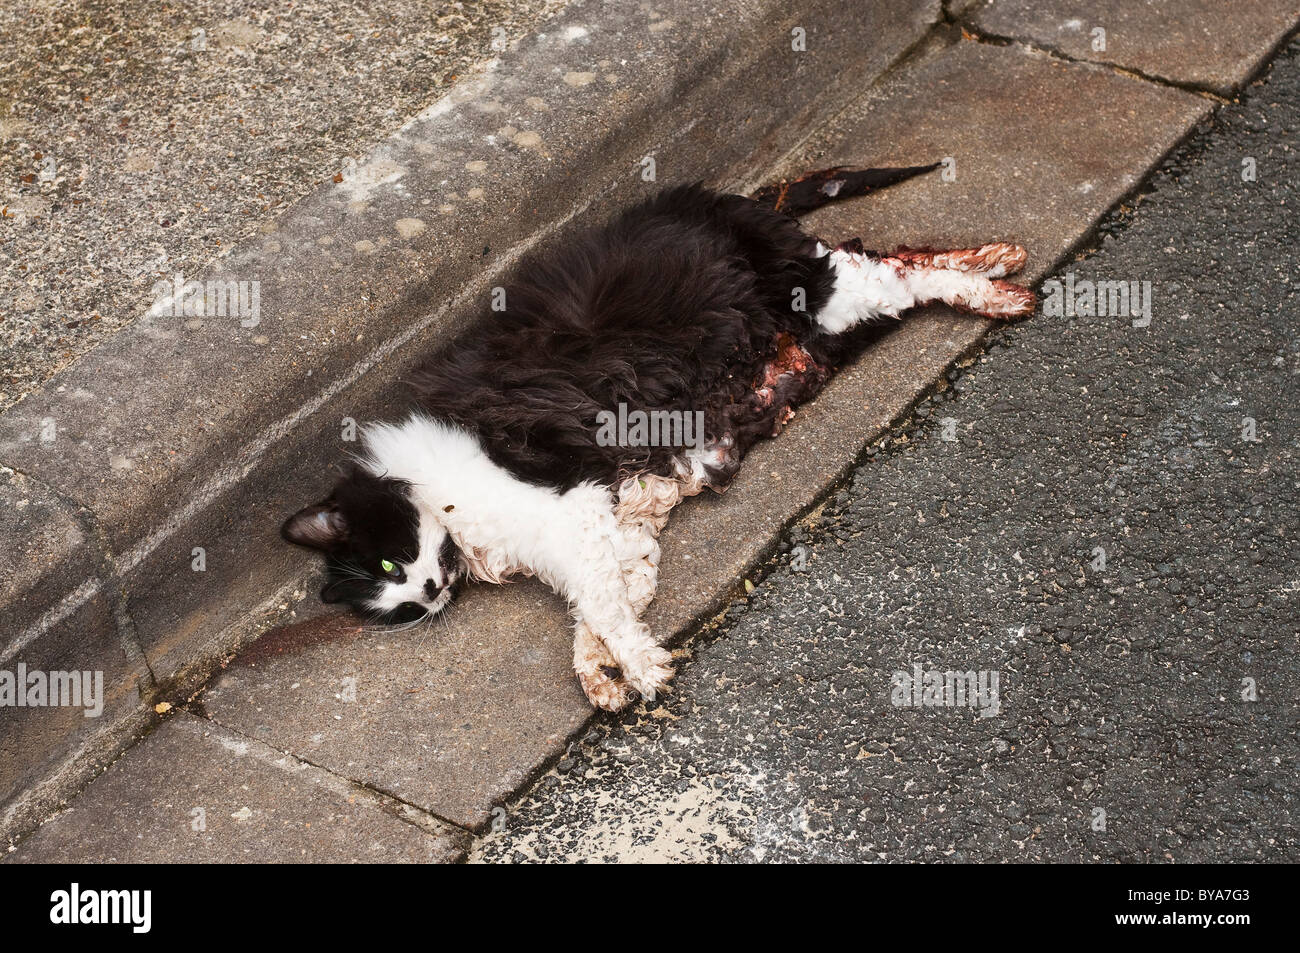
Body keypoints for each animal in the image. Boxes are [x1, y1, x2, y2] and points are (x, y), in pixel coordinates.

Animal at [284, 167, 1034, 712]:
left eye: (391, 564)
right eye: (403, 603)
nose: (432, 588)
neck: (452, 517)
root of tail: (705, 194)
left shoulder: (573, 501)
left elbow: (602, 608)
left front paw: (642, 669)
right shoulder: (622, 528)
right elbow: (598, 613)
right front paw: (601, 675)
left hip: (815, 293)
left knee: (899, 271)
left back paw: (1002, 293)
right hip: (830, 325)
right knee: (893, 259)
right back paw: (997, 260)